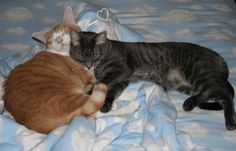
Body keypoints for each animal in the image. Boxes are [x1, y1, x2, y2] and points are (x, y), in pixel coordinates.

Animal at [69, 30, 235, 130]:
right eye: (81, 57)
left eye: (94, 56)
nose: (88, 65)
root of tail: (219, 58)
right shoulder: (122, 81)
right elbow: (111, 92)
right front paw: (106, 104)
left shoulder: (121, 71)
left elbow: (101, 82)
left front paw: (91, 91)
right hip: (191, 85)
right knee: (210, 94)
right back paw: (189, 103)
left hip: (200, 74)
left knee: (226, 94)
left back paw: (230, 122)